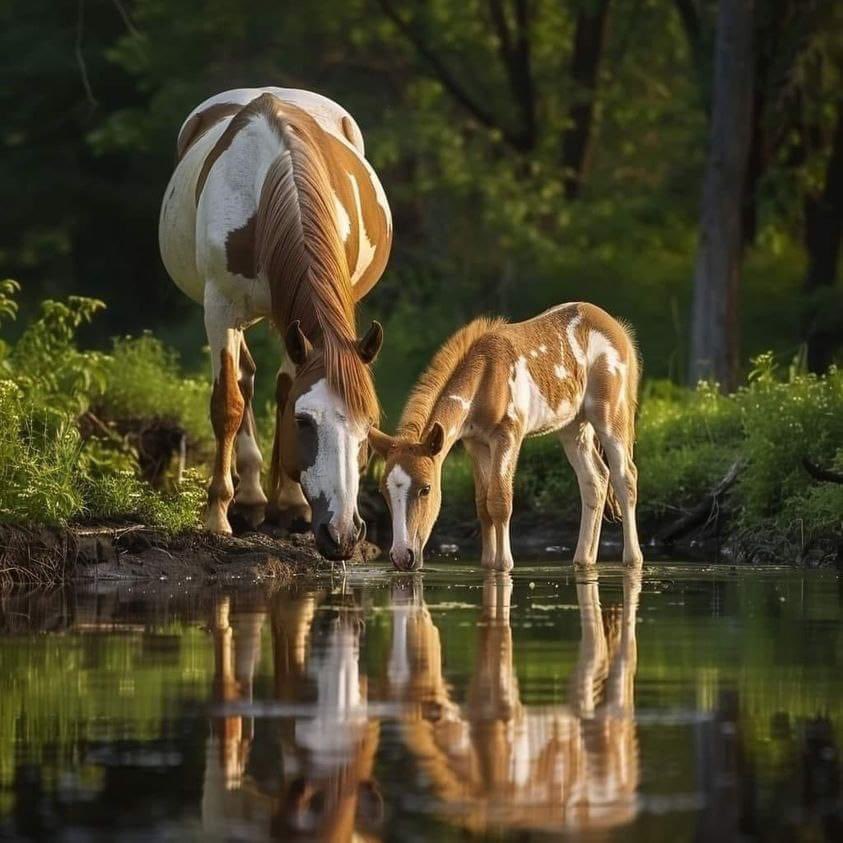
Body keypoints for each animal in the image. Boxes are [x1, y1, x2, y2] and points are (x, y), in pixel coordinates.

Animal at [159, 87, 392, 560]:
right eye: (305, 423)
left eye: (368, 427)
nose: (343, 533)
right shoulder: (219, 308)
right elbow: (227, 403)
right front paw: (217, 515)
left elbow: (284, 392)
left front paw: (291, 505)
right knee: (243, 380)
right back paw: (247, 501)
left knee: (265, 380)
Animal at [369, 302, 642, 571]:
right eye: (382, 491)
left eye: (426, 489)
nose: (402, 557)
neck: (485, 378)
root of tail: (619, 330)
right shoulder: (475, 443)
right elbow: (483, 504)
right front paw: (489, 563)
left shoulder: (507, 436)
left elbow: (500, 500)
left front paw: (504, 564)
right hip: (573, 427)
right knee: (594, 481)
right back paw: (584, 560)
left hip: (610, 416)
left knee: (625, 477)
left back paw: (632, 559)